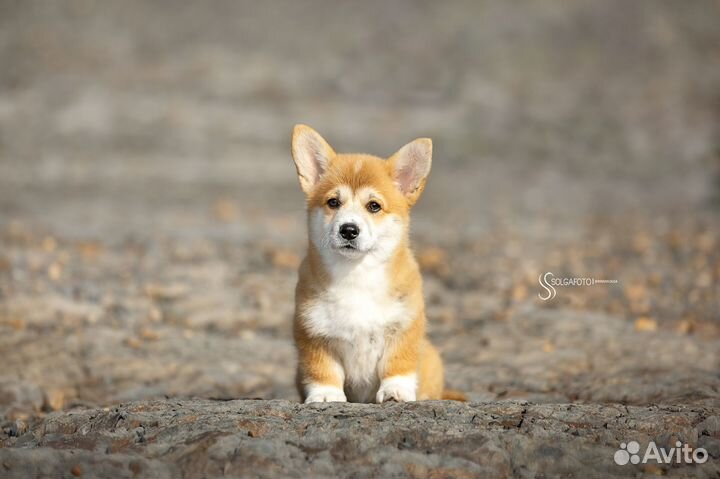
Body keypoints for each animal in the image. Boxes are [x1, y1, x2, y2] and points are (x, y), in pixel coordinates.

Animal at [292, 124, 464, 404]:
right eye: (333, 202)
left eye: (374, 206)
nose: (348, 230)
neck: (357, 274)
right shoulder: (313, 333)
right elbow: (321, 368)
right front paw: (326, 395)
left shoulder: (404, 327)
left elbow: (398, 364)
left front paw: (396, 391)